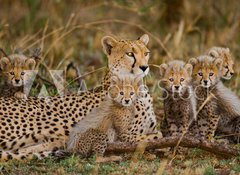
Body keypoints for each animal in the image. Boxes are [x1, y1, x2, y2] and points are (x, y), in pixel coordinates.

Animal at [0, 33, 158, 161]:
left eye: (146, 53)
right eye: (130, 54)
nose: (144, 67)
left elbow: (154, 134)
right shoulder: (126, 134)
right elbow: (155, 136)